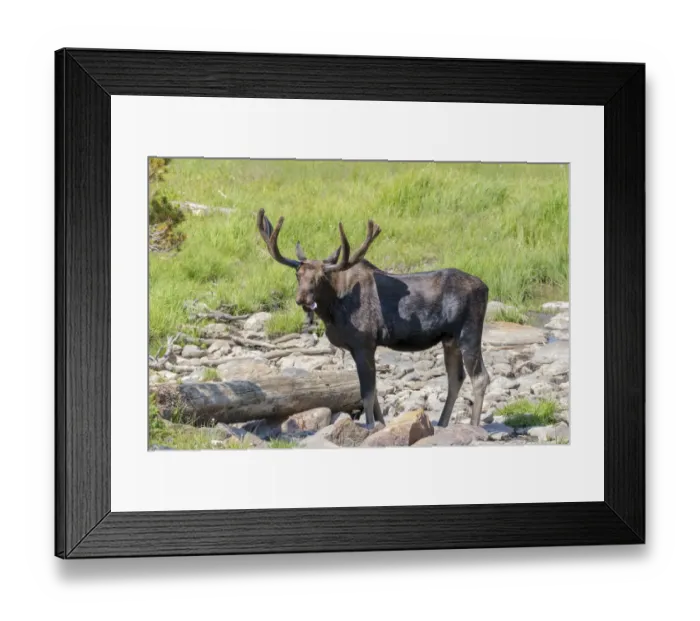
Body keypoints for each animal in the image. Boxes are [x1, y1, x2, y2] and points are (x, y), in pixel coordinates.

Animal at [256, 209, 491, 429]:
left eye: (322, 276)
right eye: (298, 274)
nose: (302, 298)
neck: (333, 309)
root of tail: (486, 288)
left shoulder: (364, 343)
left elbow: (367, 394)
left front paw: (369, 426)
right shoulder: (356, 348)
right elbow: (375, 392)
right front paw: (381, 424)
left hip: (469, 332)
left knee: (480, 377)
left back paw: (474, 425)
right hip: (450, 339)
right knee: (456, 378)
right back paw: (442, 423)